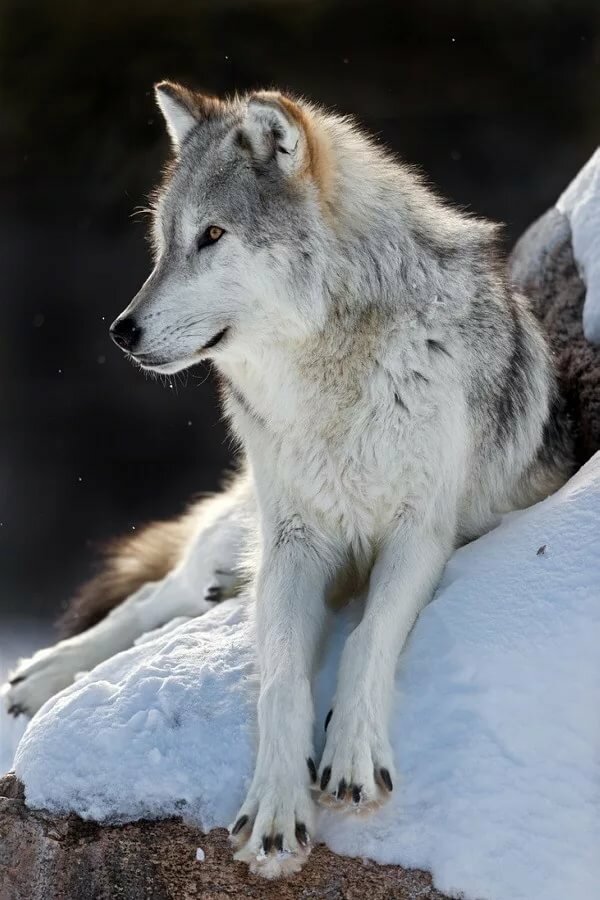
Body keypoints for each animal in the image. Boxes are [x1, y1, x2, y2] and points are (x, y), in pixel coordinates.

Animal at [5, 83, 574, 878]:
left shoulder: (420, 534)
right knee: (155, 593)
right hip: (246, 523)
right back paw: (42, 674)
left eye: (212, 235)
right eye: (165, 243)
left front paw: (352, 757)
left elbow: (367, 638)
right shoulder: (295, 544)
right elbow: (278, 681)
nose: (120, 331)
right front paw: (276, 810)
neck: (332, 373)